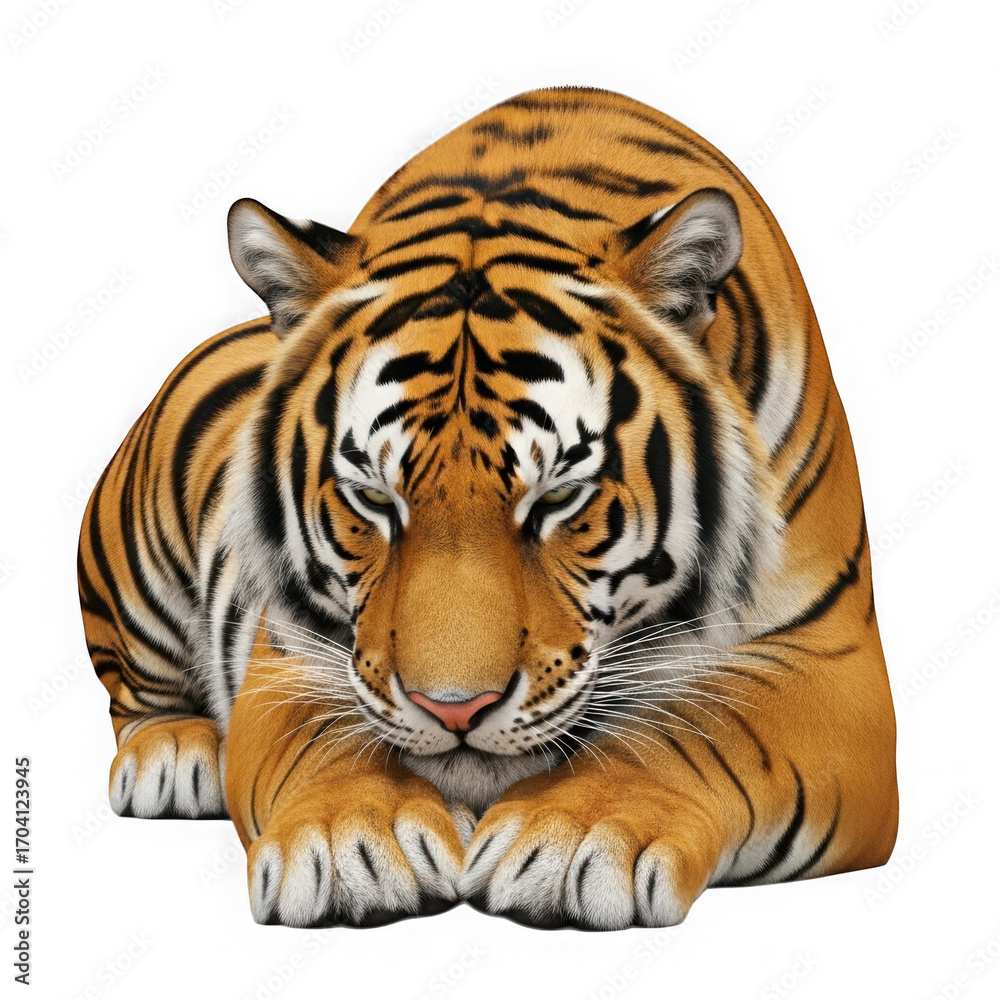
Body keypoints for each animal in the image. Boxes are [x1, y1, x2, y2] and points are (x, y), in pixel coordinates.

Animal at [78, 85, 898, 929]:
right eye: (374, 499)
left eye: (559, 497)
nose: (453, 711)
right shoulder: (291, 659)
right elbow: (328, 740)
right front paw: (354, 841)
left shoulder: (831, 661)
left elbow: (695, 728)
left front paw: (577, 835)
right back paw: (173, 756)